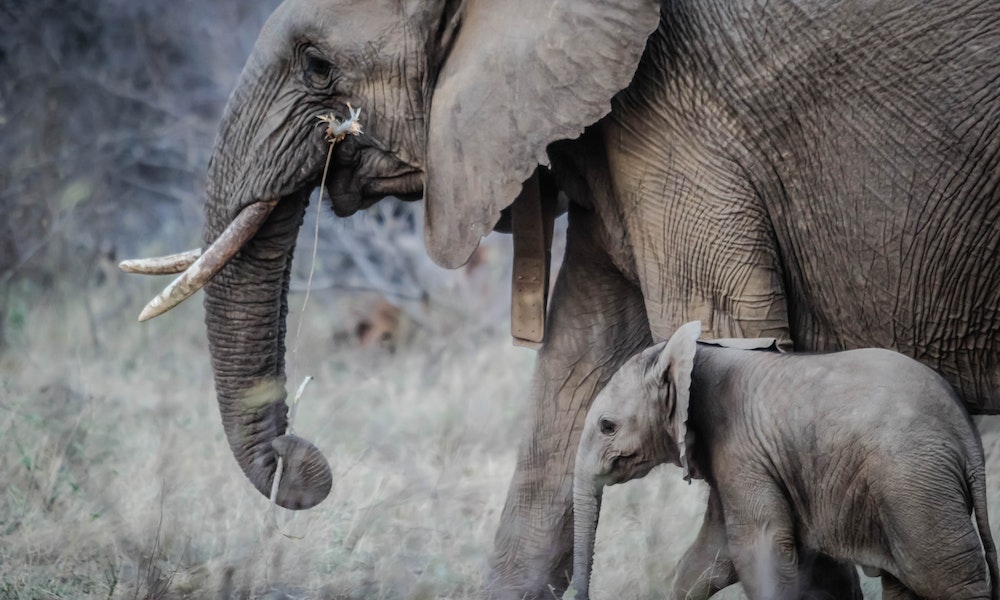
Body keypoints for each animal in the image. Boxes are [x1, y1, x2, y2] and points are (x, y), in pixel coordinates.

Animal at [572, 321, 1000, 600]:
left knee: (945, 578)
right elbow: (710, 558)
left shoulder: (742, 449)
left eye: (607, 426)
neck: (695, 353)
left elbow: (760, 550)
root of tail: (967, 437)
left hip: (914, 487)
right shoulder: (737, 459)